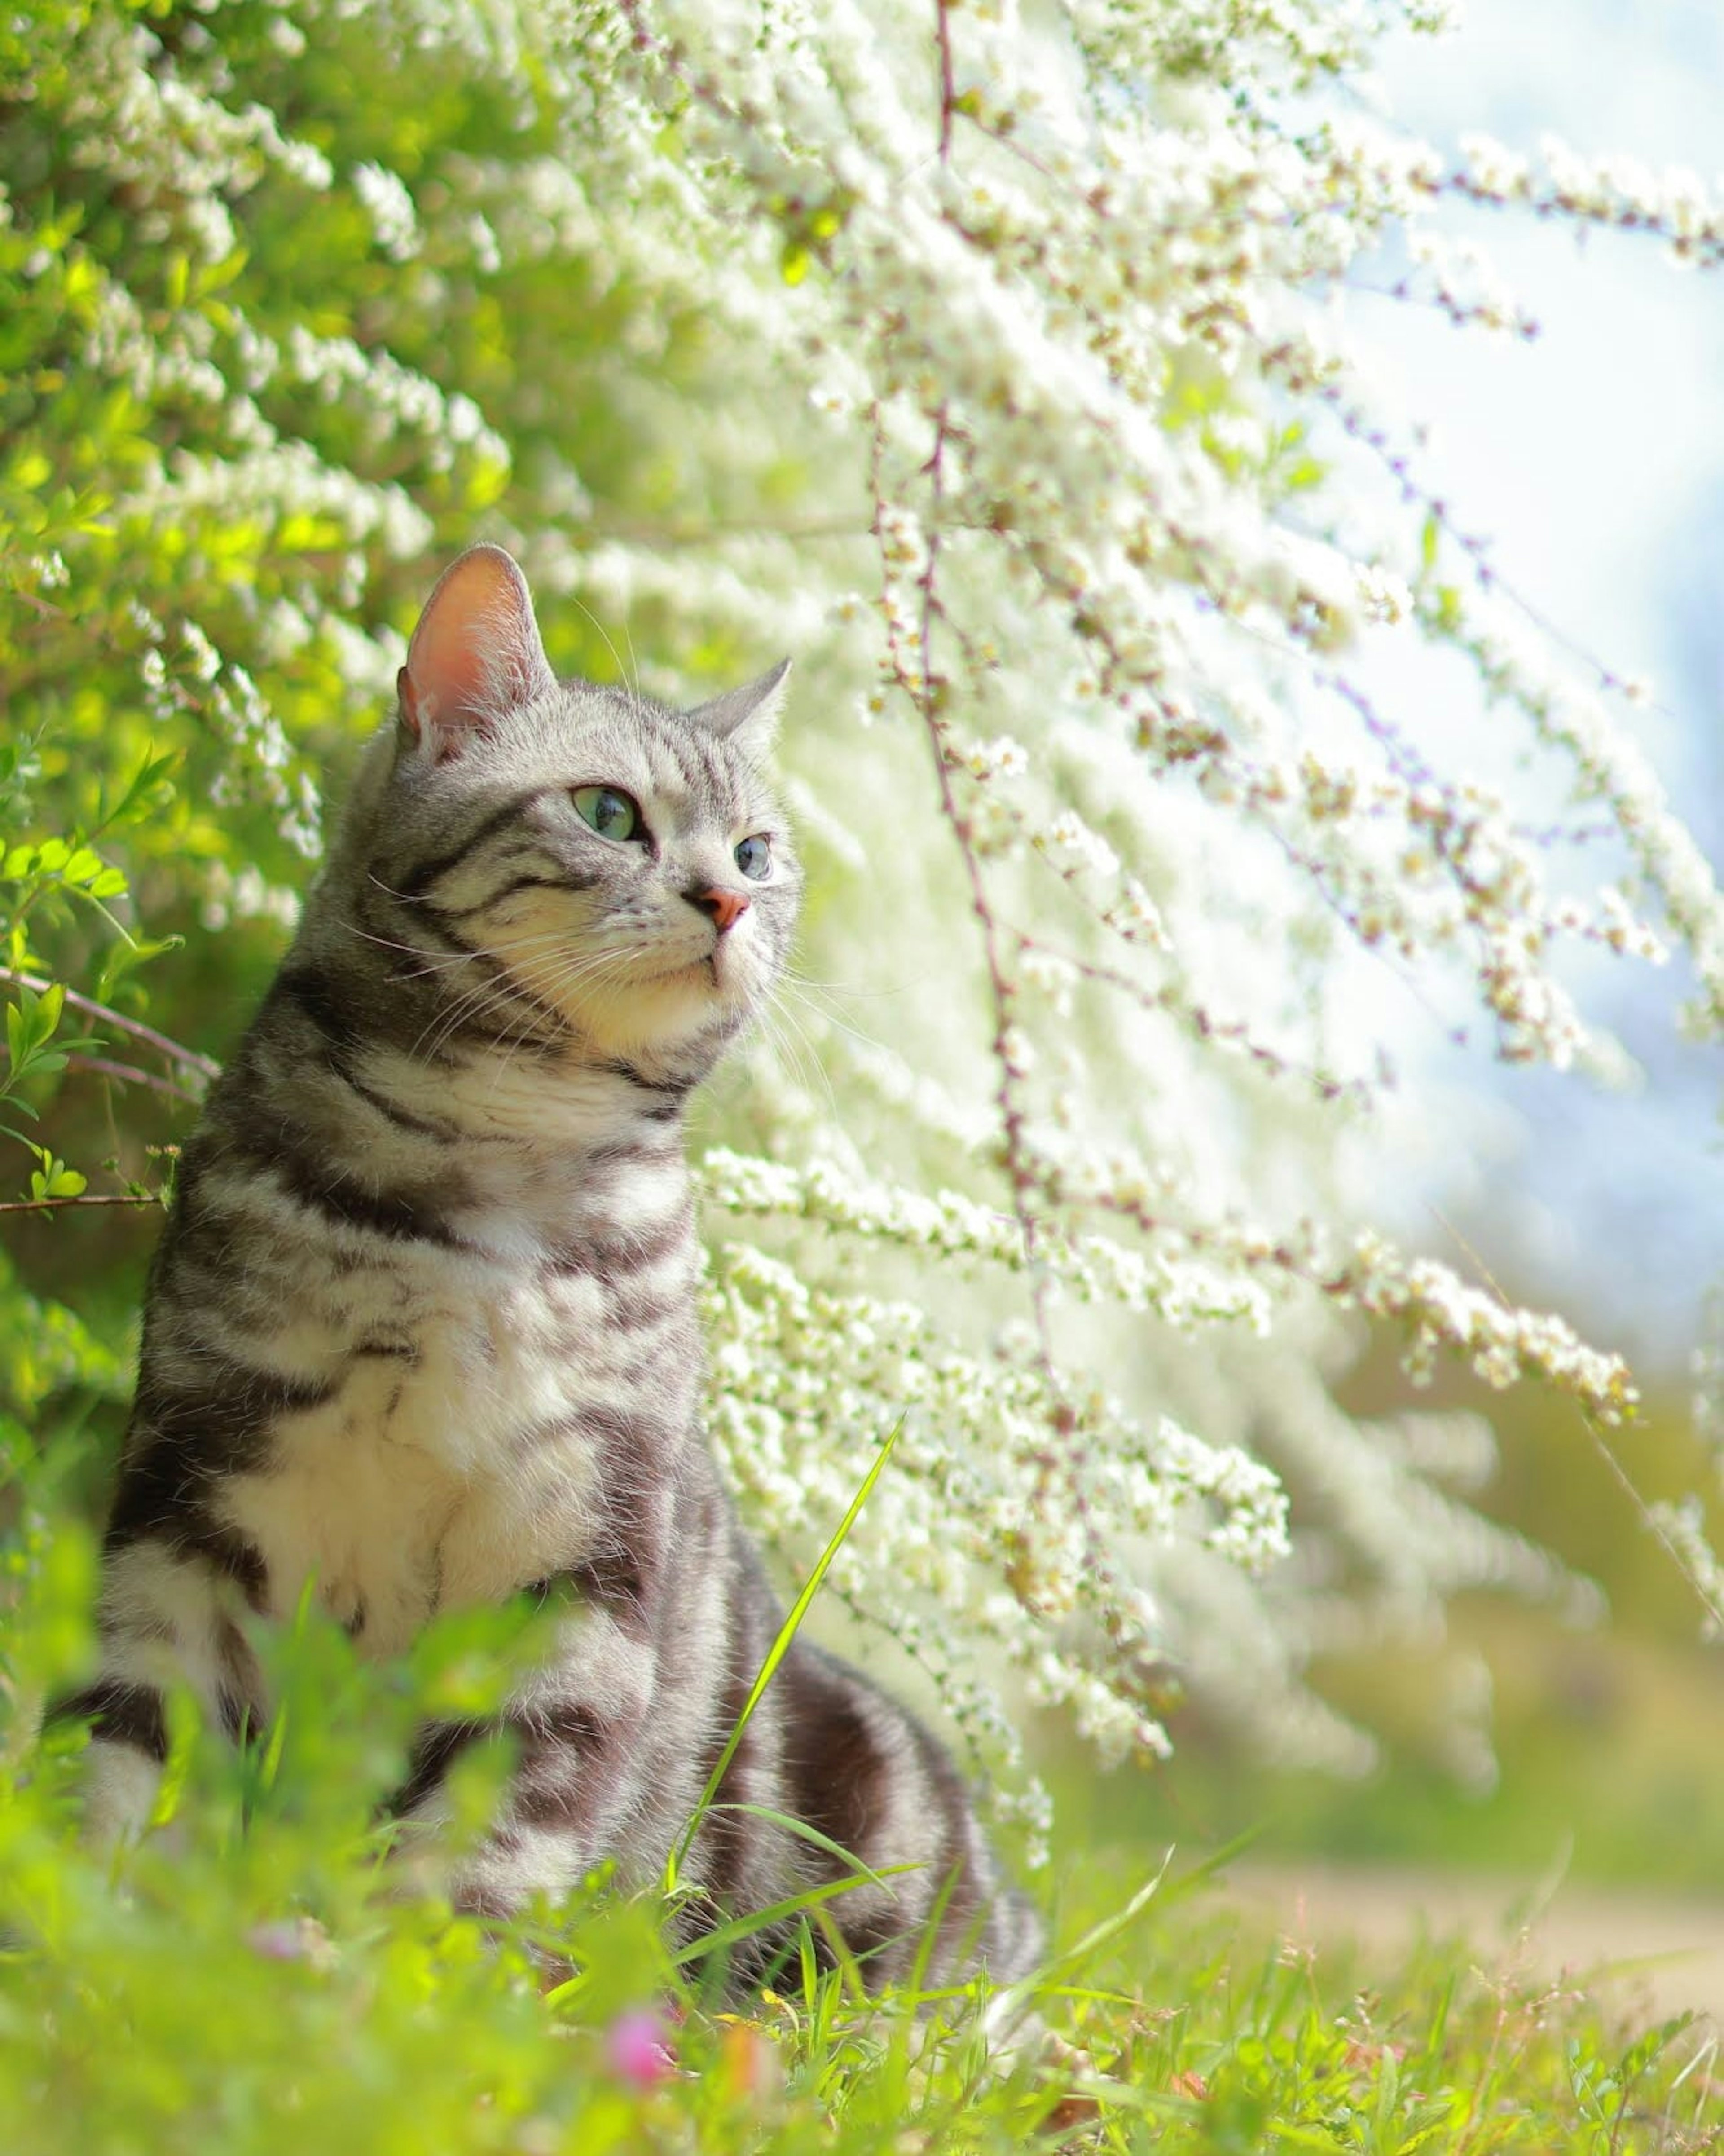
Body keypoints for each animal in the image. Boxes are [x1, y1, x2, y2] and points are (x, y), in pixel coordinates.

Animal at [57, 547, 1038, 1992]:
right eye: (609, 813)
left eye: (755, 852)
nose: (726, 898)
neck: (492, 1171)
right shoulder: (188, 1494)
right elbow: (134, 1746)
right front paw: (102, 1929)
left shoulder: (584, 1550)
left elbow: (506, 1809)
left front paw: (420, 1986)